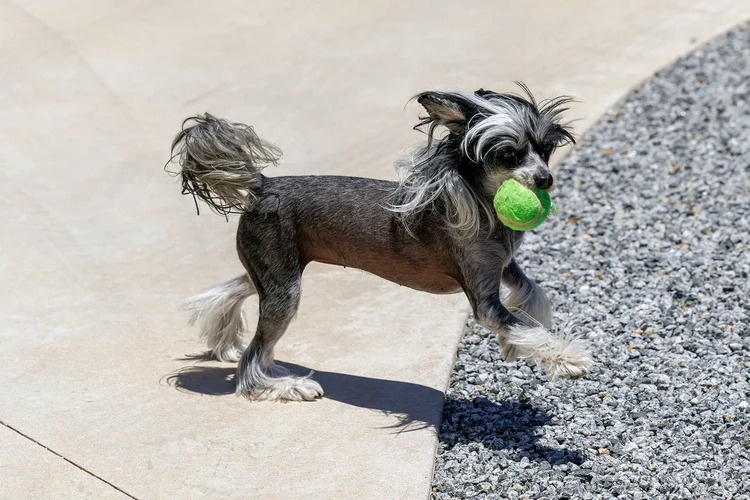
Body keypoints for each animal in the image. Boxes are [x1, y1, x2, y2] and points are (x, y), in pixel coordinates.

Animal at [169, 84, 592, 400]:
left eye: (546, 149)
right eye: (508, 154)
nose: (544, 179)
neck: (477, 200)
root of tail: (262, 185)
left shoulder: (502, 266)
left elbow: (532, 294)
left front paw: (517, 341)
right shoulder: (484, 298)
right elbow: (515, 321)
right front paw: (565, 357)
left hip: (274, 270)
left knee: (236, 291)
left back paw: (225, 339)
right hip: (284, 287)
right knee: (254, 357)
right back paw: (283, 385)